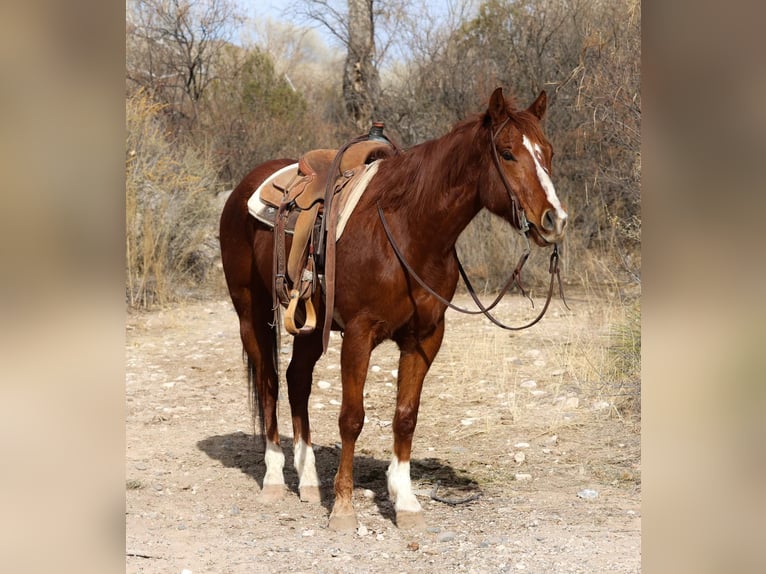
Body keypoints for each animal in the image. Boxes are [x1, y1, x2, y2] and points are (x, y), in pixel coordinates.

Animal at [219, 87, 568, 531]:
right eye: (507, 153)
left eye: (548, 151)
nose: (555, 219)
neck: (409, 228)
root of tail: (243, 188)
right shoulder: (359, 333)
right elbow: (352, 417)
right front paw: (344, 508)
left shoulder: (425, 337)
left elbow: (406, 415)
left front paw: (405, 501)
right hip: (251, 312)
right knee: (268, 383)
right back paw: (275, 479)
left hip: (311, 326)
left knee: (297, 380)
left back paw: (309, 480)